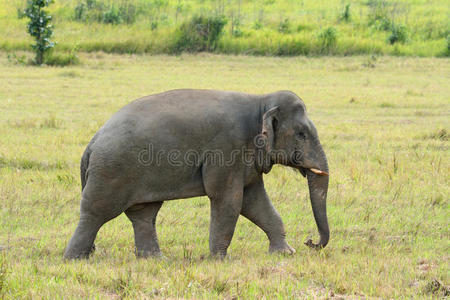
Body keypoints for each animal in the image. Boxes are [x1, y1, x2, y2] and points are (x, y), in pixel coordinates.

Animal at [63, 89, 328, 260]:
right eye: (302, 134)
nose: (310, 242)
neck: (260, 101)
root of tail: (92, 142)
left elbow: (254, 201)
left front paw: (285, 253)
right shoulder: (226, 149)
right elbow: (229, 200)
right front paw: (219, 260)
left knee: (144, 214)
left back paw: (155, 259)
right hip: (112, 170)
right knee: (96, 212)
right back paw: (75, 259)